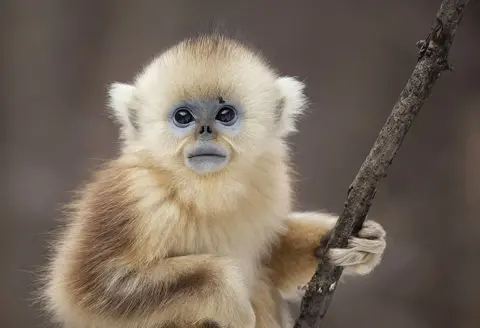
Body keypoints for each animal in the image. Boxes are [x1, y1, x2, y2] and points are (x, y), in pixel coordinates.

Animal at [41, 34, 386, 326]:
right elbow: (86, 291)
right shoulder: (135, 197)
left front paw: (342, 240)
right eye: (183, 117)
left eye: (225, 115)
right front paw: (230, 296)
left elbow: (271, 258)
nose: (205, 131)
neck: (202, 189)